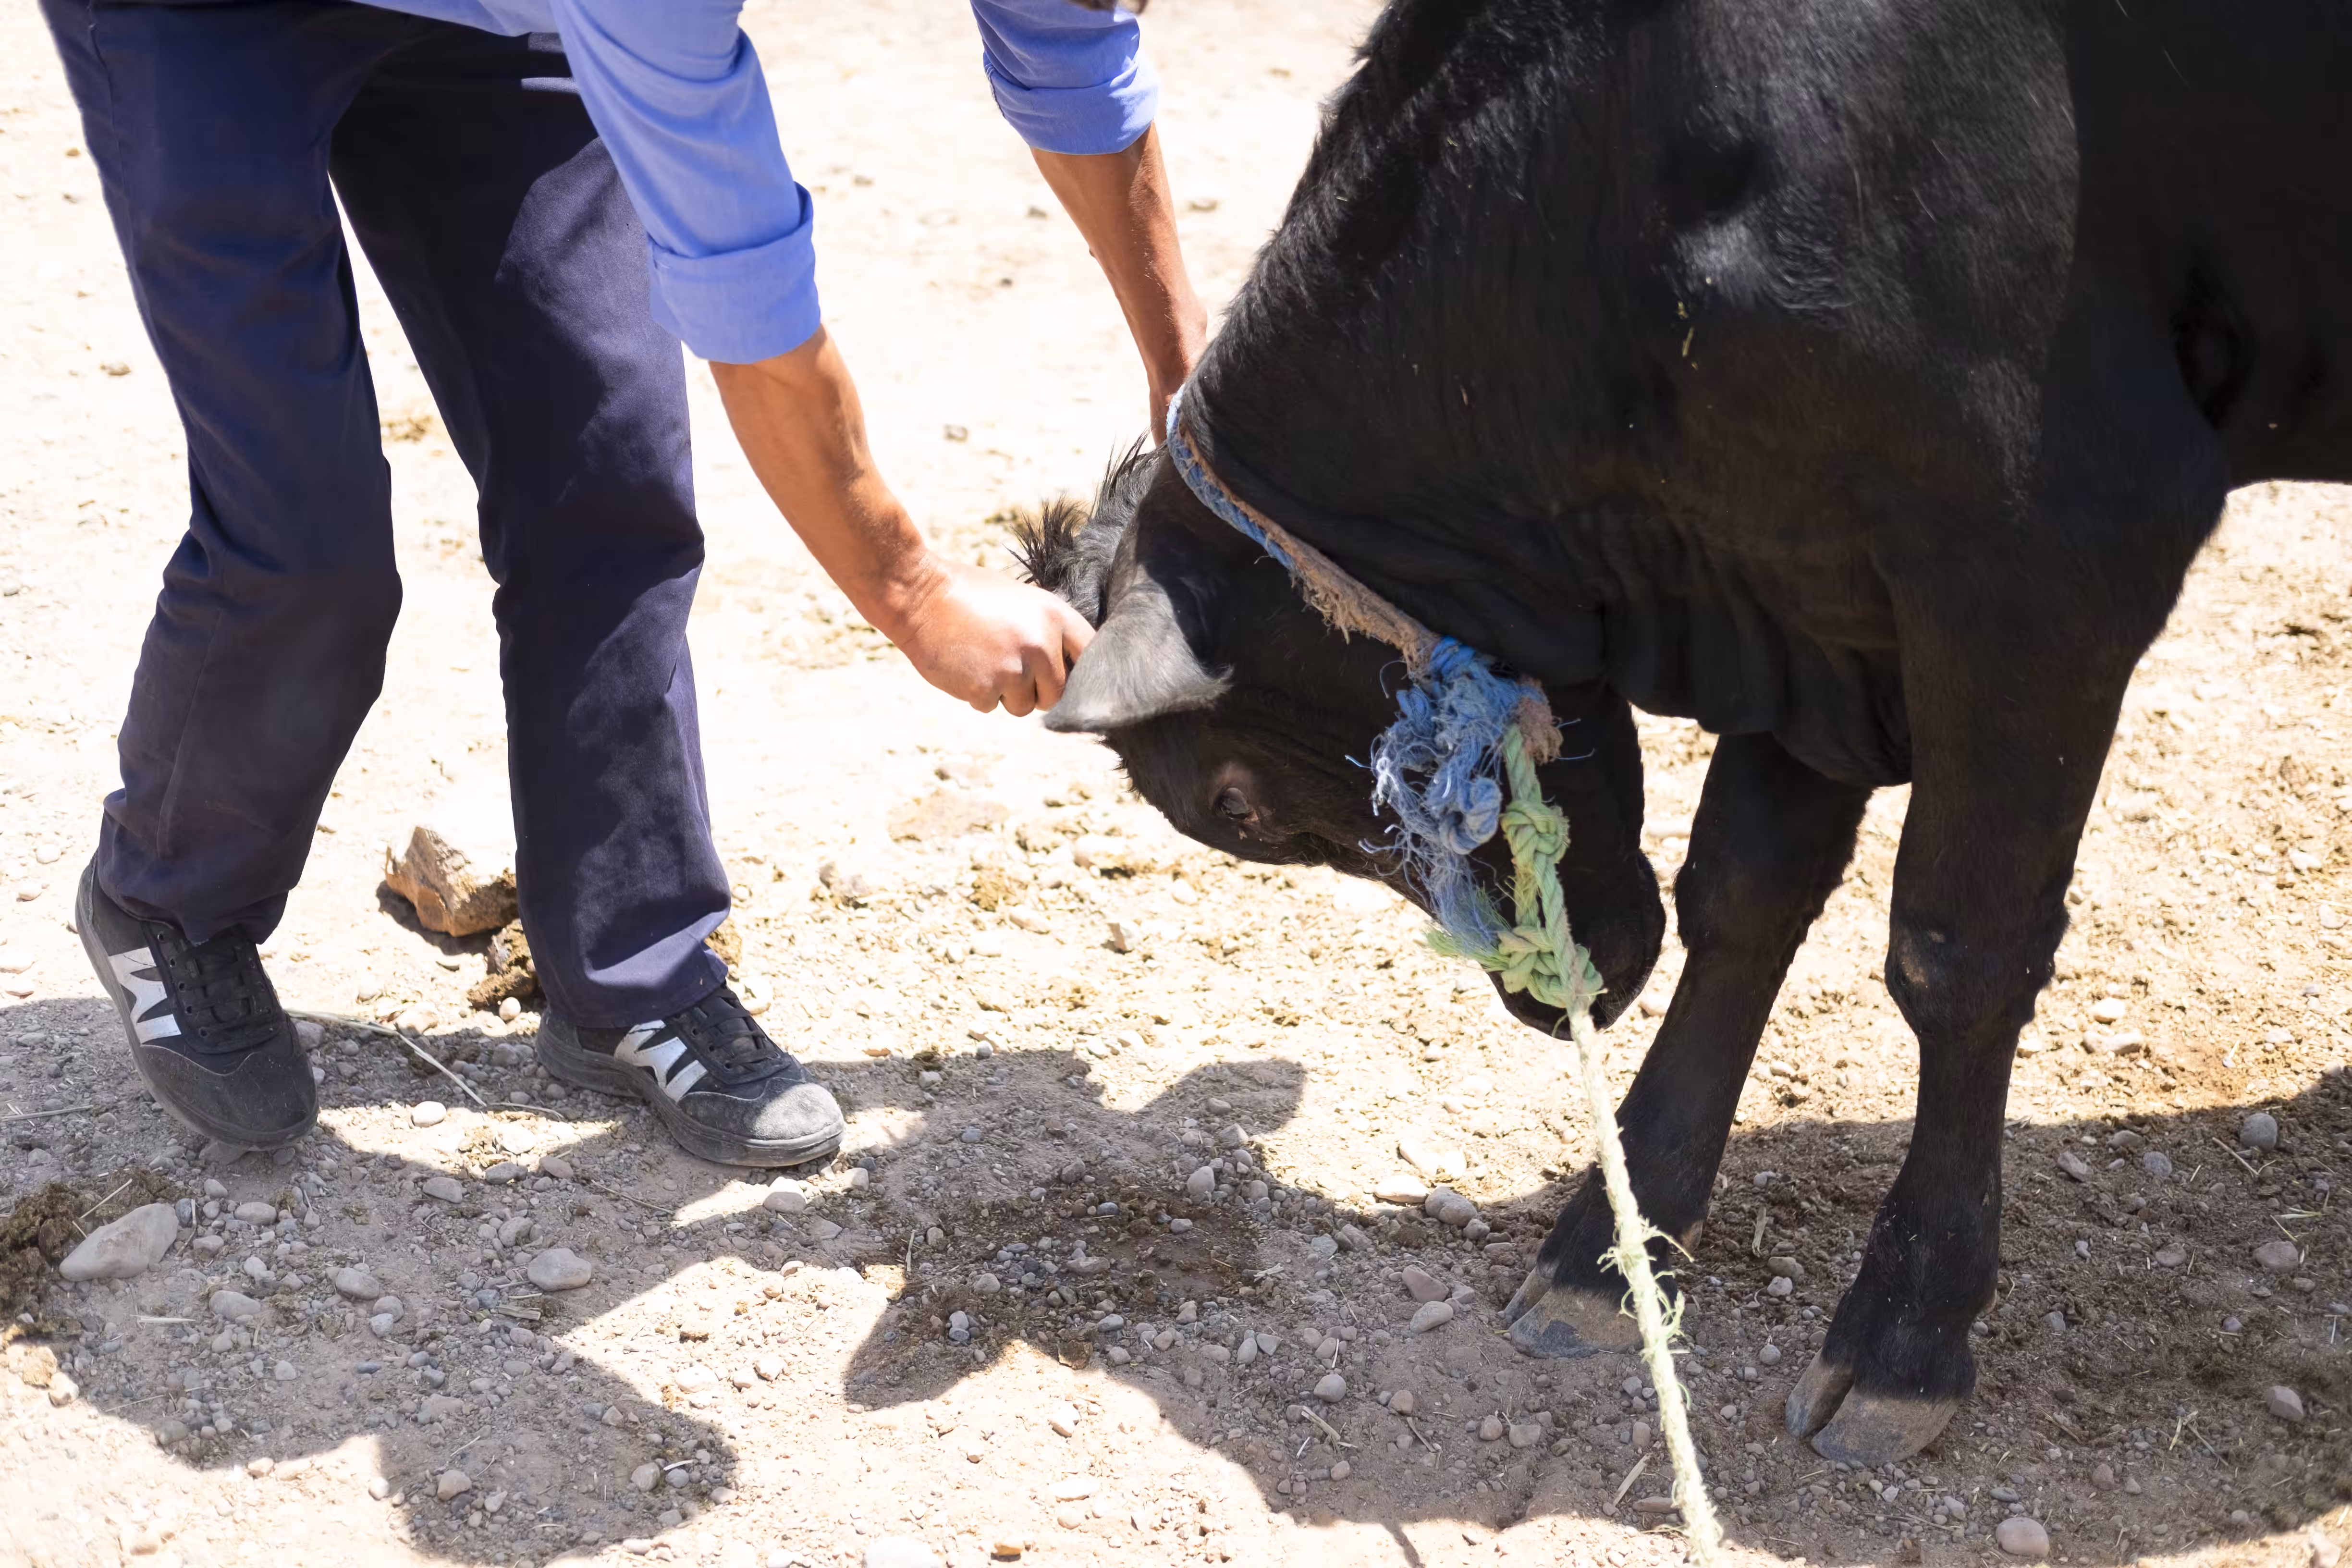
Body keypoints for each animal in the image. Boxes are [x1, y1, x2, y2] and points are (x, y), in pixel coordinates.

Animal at [1015, 0, 2352, 1464]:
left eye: (1239, 805)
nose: (1548, 1001)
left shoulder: (2050, 552)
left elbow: (1957, 949)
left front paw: (1905, 1331)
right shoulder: (1810, 580)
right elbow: (1746, 892)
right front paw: (1613, 1248)